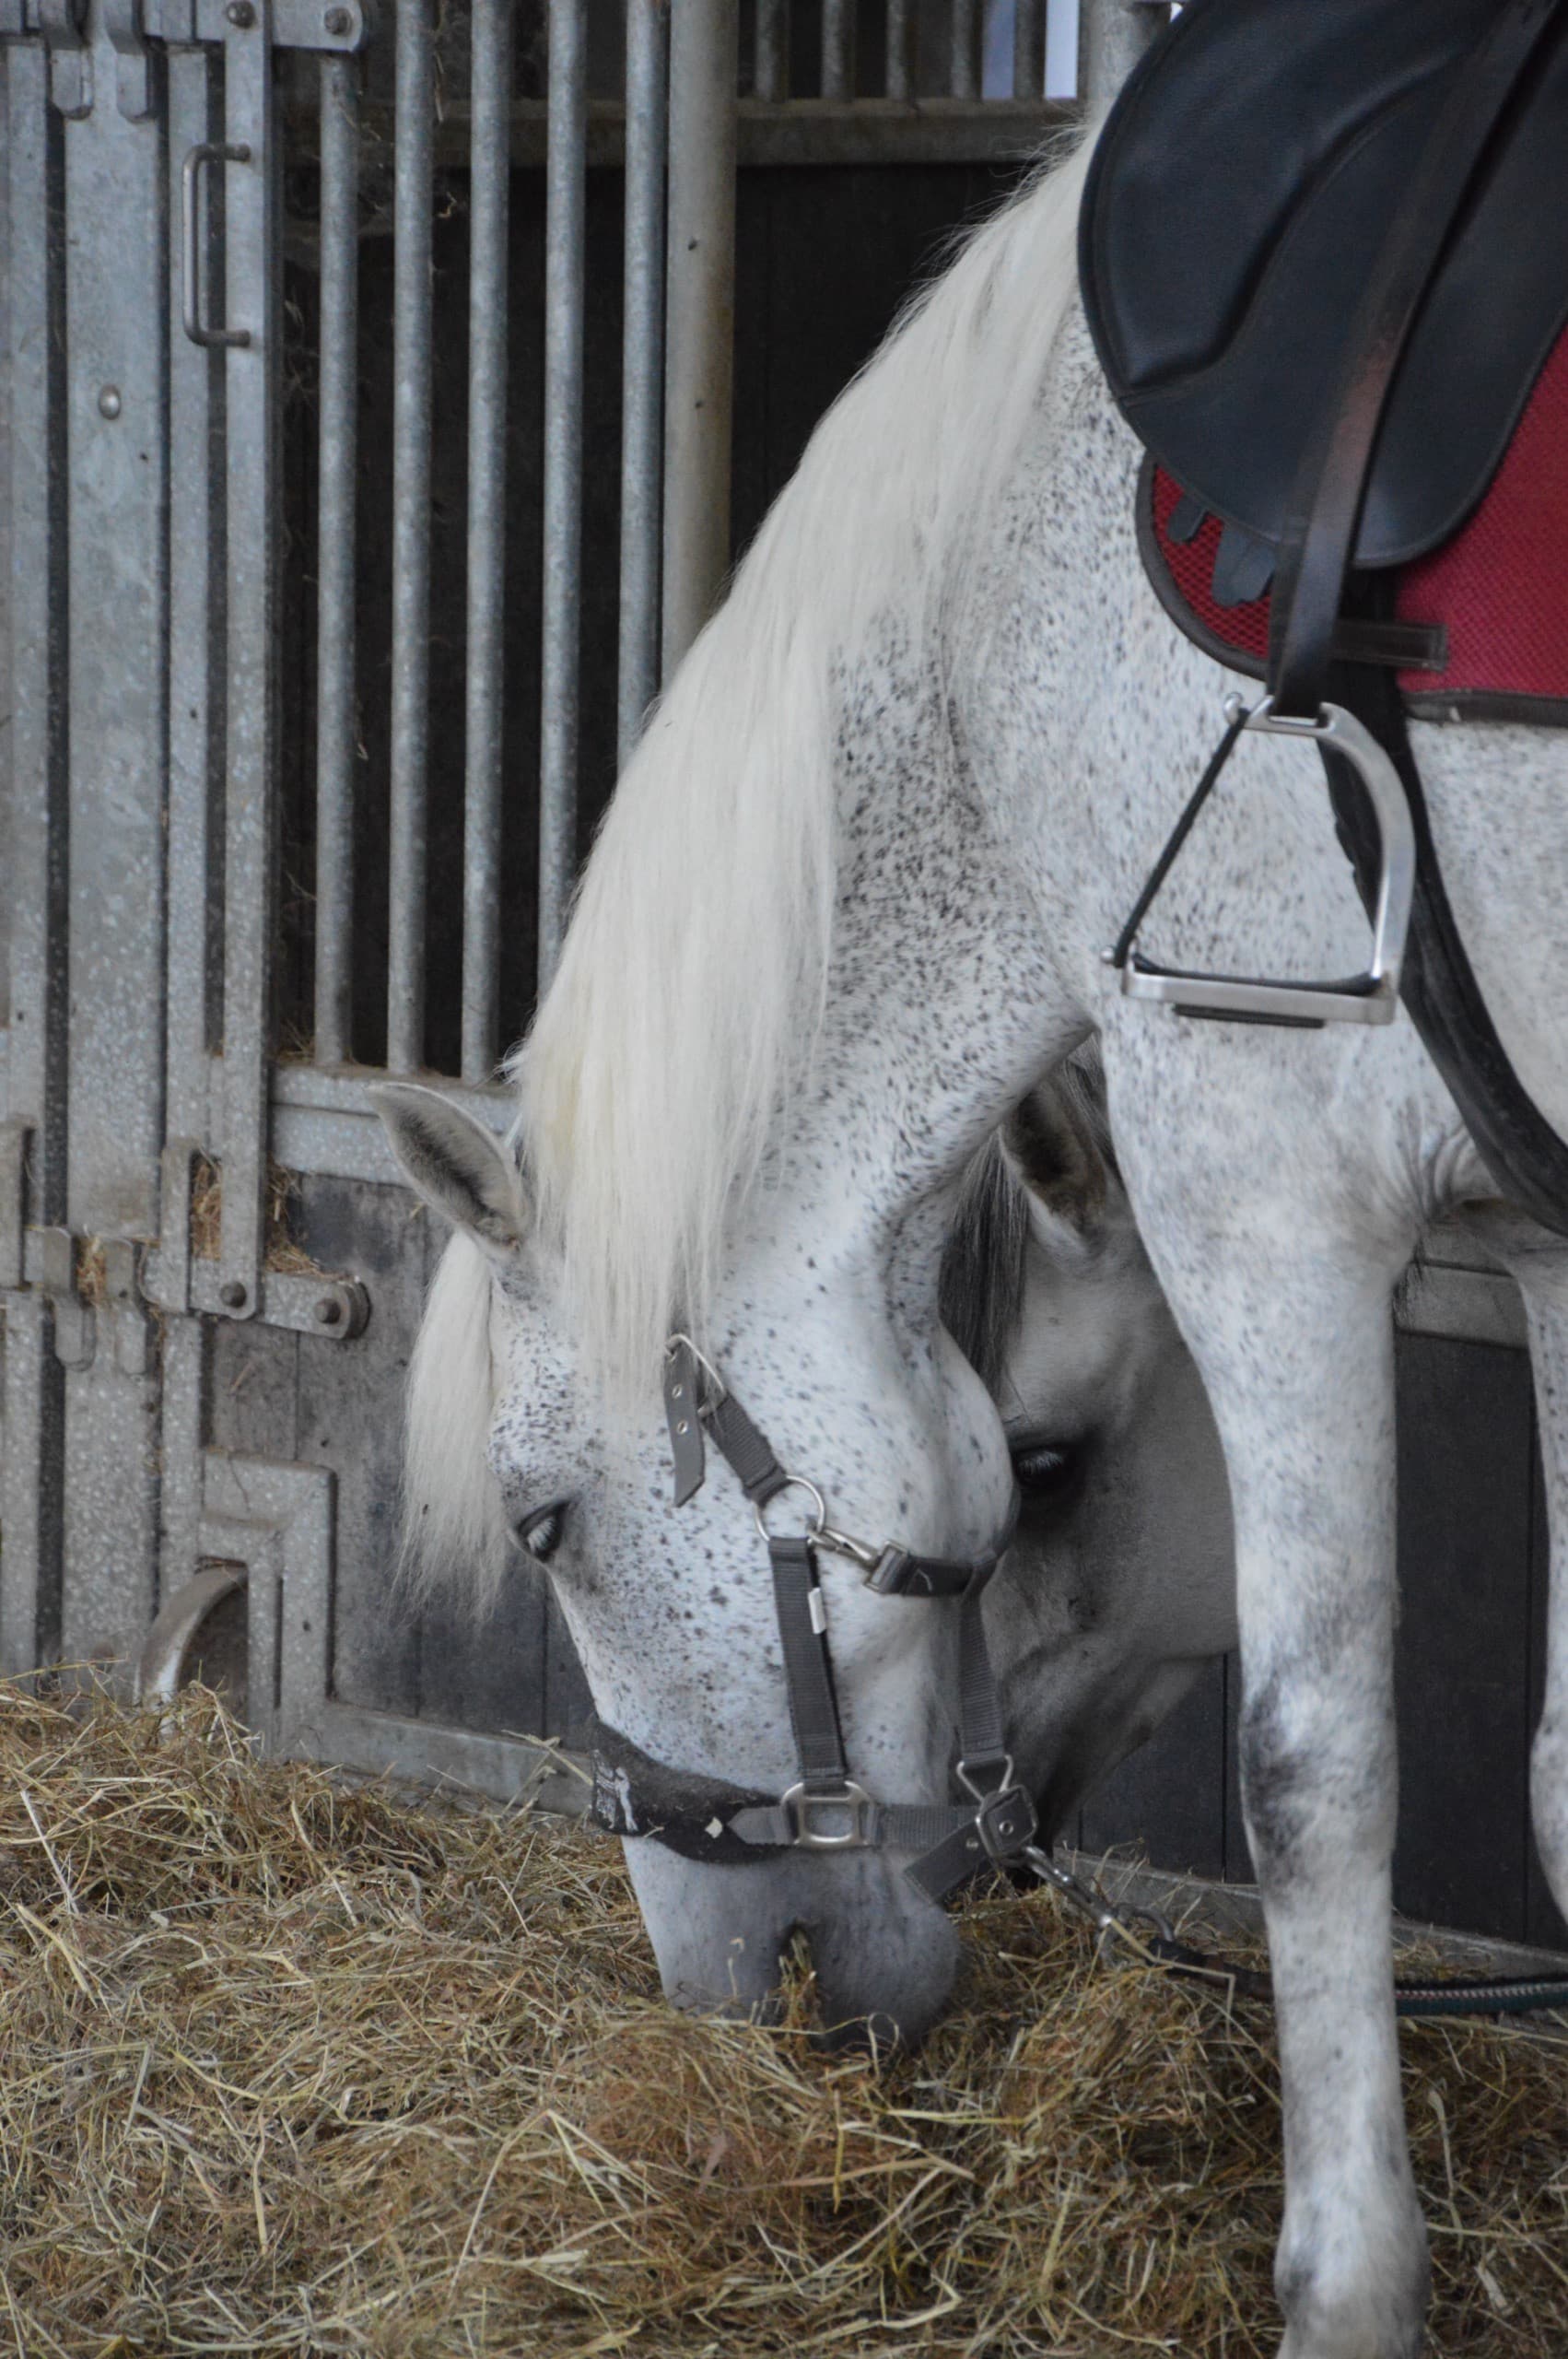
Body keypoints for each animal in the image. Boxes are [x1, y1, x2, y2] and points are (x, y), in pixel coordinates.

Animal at [375, 127, 1568, 2359]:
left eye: (548, 1524)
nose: (742, 1999)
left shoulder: (1256, 1161)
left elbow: (1314, 1772)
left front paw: (1344, 2279)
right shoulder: (1546, 1241)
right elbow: (1554, 1772)